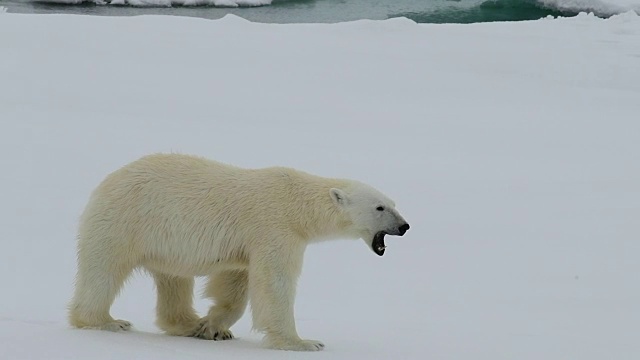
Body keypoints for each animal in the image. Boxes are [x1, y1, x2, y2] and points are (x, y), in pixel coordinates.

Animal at [69, 153, 410, 350]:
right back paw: (107, 321)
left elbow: (234, 281)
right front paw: (302, 342)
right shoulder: (274, 227)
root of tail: (105, 183)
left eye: (393, 202)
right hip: (125, 222)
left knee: (174, 280)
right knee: (104, 271)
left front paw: (213, 327)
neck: (297, 205)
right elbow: (274, 283)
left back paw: (188, 323)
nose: (405, 226)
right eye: (380, 207)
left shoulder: (246, 243)